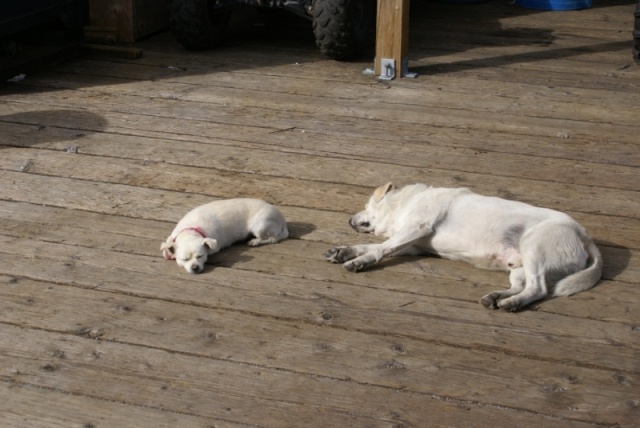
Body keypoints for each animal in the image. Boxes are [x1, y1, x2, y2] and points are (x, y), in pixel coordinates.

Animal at [322, 181, 604, 310]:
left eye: (366, 205)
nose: (349, 219)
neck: (404, 204)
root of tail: (584, 235)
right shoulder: (411, 244)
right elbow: (371, 245)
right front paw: (344, 250)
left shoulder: (418, 228)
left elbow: (380, 249)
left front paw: (359, 261)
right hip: (518, 265)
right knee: (522, 286)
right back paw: (497, 297)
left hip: (534, 247)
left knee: (539, 288)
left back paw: (512, 303)